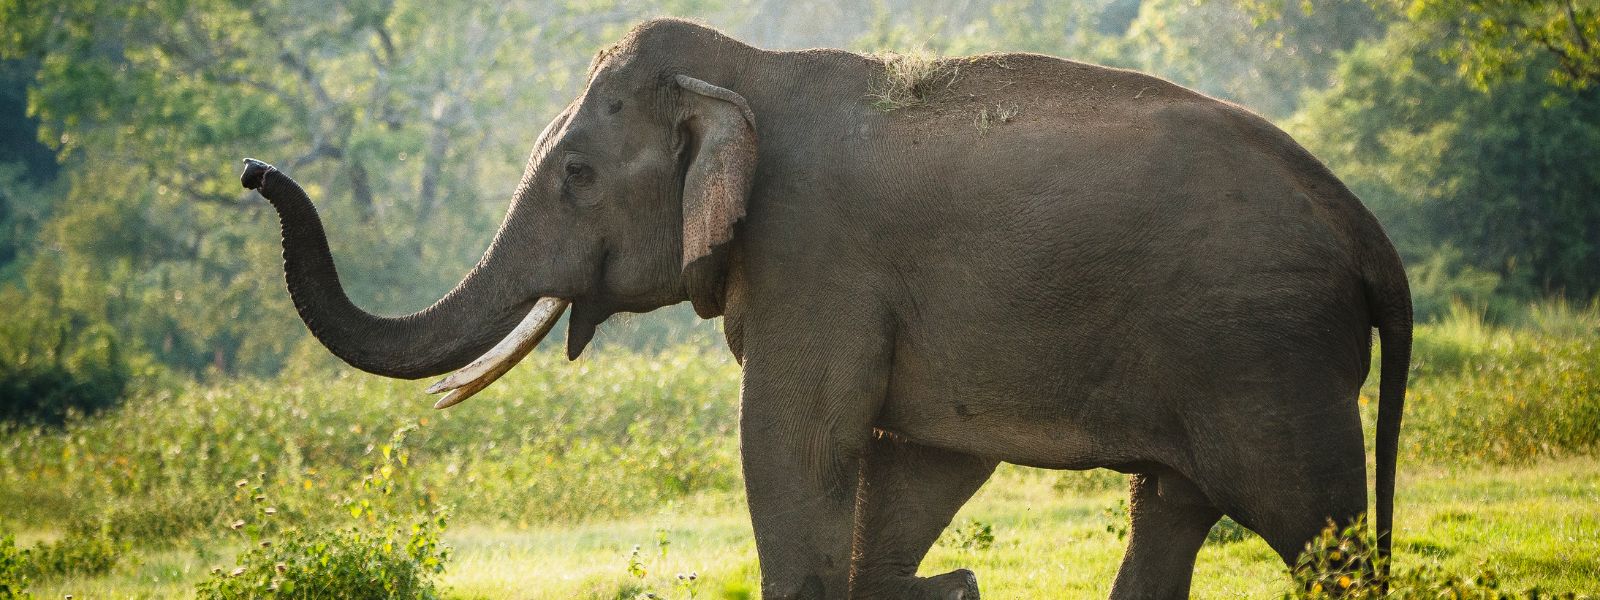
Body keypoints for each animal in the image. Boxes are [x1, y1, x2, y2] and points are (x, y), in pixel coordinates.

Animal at [239, 18, 1411, 600]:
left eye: (574, 174)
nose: (251, 169)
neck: (750, 73)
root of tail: (1368, 233)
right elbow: (910, 468)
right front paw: (941, 584)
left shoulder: (820, 260)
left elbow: (795, 446)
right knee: (1169, 514)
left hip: (1266, 358)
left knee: (1320, 537)